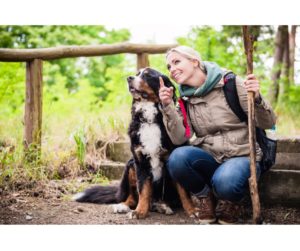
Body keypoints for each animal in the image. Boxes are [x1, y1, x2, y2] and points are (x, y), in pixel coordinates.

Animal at [73, 67, 198, 219]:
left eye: (148, 75)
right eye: (137, 73)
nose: (129, 78)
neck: (150, 120)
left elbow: (184, 192)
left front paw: (192, 210)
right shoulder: (140, 161)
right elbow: (143, 190)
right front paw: (140, 211)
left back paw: (162, 206)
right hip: (130, 165)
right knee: (132, 198)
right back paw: (123, 206)